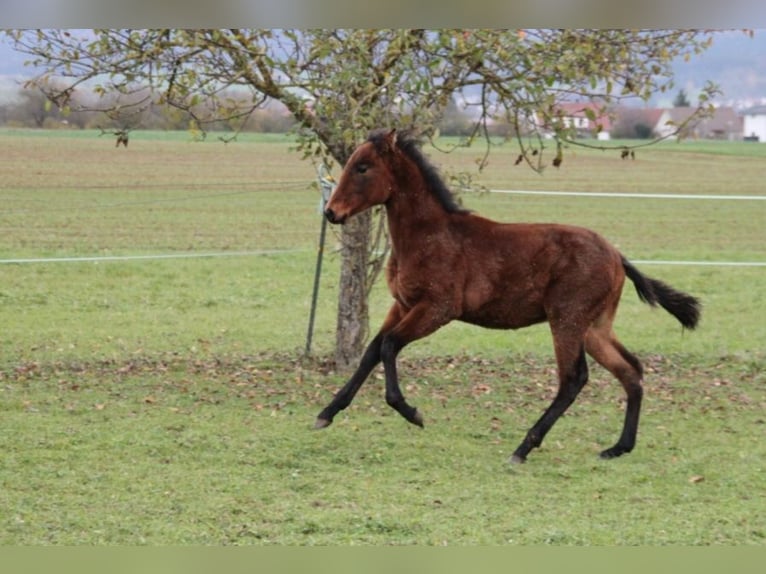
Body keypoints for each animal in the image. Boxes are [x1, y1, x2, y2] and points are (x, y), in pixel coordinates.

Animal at [316, 128, 704, 466]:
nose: (331, 212)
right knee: (631, 370)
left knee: (573, 379)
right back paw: (618, 447)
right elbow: (371, 352)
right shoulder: (403, 305)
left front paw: (412, 412)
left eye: (363, 167)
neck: (429, 236)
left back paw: (523, 448)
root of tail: (616, 255)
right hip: (595, 327)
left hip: (567, 320)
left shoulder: (438, 309)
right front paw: (326, 413)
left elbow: (389, 346)